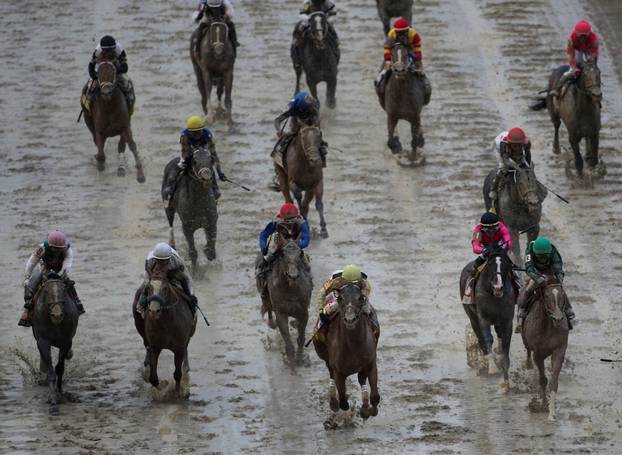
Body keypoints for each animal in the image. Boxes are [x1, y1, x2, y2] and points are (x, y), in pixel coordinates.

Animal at [31, 272, 79, 416]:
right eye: (46, 291)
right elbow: (51, 372)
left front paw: (60, 392)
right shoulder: (43, 341)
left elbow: (60, 368)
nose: (57, 315)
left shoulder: (66, 341)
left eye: (64, 290)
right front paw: (53, 402)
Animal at [312, 284, 380, 420]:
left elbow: (375, 397)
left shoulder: (371, 364)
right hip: (325, 356)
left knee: (361, 378)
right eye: (341, 298)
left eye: (360, 298)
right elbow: (343, 402)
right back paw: (333, 402)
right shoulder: (339, 371)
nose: (350, 319)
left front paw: (368, 410)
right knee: (331, 373)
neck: (354, 346)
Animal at [460, 249, 520, 392]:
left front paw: (506, 383)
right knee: (481, 339)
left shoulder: (506, 321)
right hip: (472, 317)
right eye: (491, 265)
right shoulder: (483, 319)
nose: (498, 287)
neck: (494, 296)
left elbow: (505, 346)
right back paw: (483, 365)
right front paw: (492, 368)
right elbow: (487, 339)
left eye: (505, 265)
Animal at [524, 278, 572, 424]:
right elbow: (543, 380)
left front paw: (552, 414)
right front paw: (544, 404)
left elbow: (553, 383)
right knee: (527, 351)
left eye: (563, 296)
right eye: (546, 296)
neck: (548, 327)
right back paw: (528, 365)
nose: (558, 318)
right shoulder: (538, 355)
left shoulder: (559, 351)